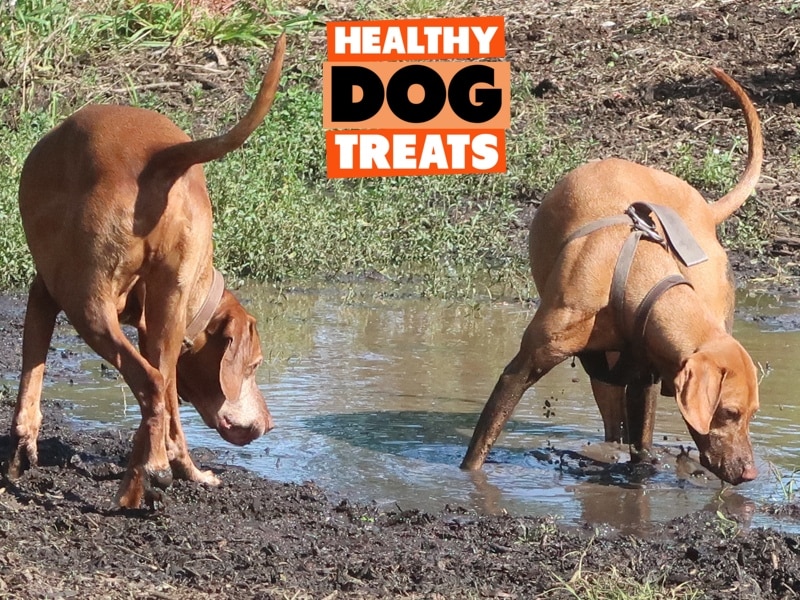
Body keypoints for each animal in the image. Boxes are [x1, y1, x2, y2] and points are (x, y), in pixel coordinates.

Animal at [6, 35, 288, 508]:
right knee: (158, 387)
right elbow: (169, 414)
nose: (269, 425)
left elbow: (31, 379)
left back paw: (146, 475)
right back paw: (150, 474)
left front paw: (21, 455)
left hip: (86, 305)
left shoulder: (43, 293)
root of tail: (160, 156)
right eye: (254, 366)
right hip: (159, 316)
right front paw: (185, 470)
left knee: (151, 383)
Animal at [460, 68, 760, 486]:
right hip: (601, 374)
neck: (631, 274)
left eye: (753, 414)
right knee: (610, 420)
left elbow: (642, 444)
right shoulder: (523, 367)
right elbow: (483, 440)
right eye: (729, 412)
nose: (750, 473)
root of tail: (705, 207)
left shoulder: (646, 376)